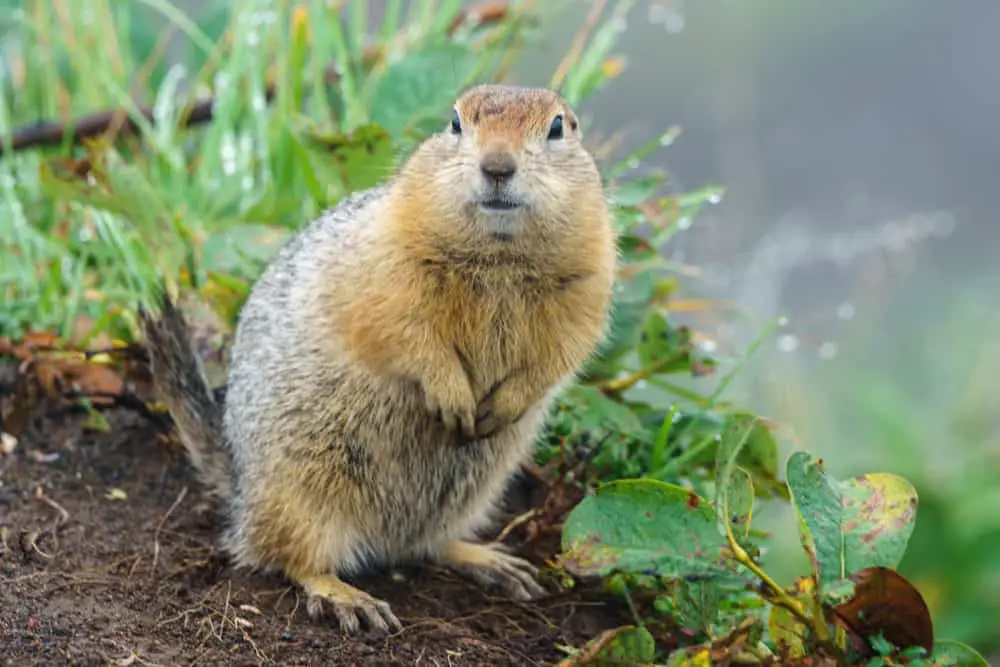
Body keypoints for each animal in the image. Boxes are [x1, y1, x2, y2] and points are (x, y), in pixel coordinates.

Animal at [141, 85, 616, 636]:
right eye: (455, 122)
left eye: (558, 127)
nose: (497, 166)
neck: (499, 254)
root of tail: (240, 484)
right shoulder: (388, 268)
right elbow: (407, 334)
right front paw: (452, 397)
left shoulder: (588, 280)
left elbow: (561, 352)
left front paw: (504, 403)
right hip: (299, 494)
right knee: (285, 556)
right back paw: (347, 596)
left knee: (424, 546)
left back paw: (490, 561)